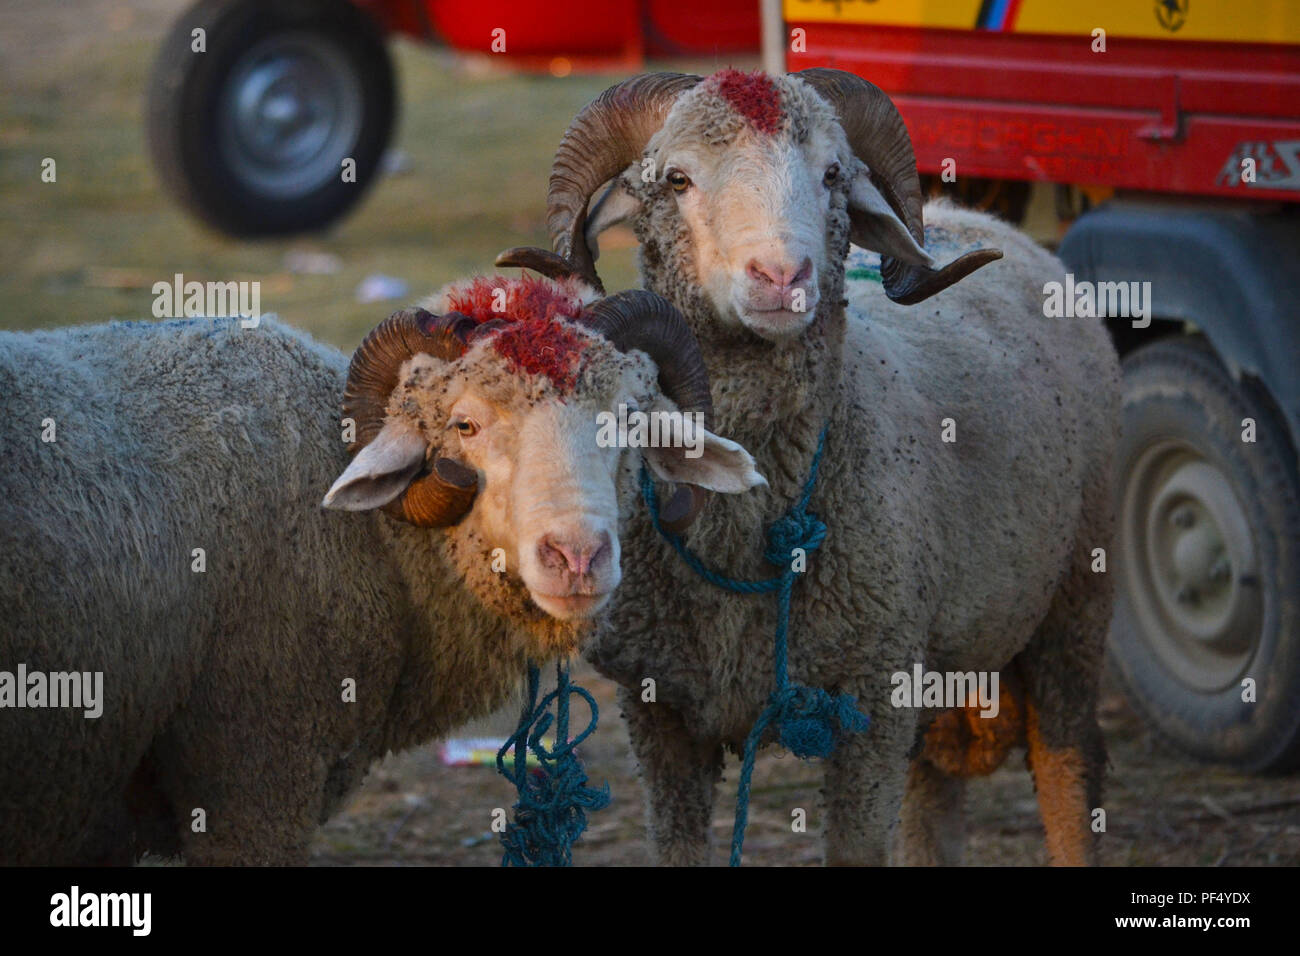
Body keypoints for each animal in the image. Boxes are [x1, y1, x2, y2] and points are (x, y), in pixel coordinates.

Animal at [498, 68, 1120, 866]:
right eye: (677, 178)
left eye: (832, 174)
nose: (782, 274)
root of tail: (988, 222)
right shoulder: (658, 712)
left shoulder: (872, 699)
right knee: (935, 790)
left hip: (1075, 600)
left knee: (1068, 765)